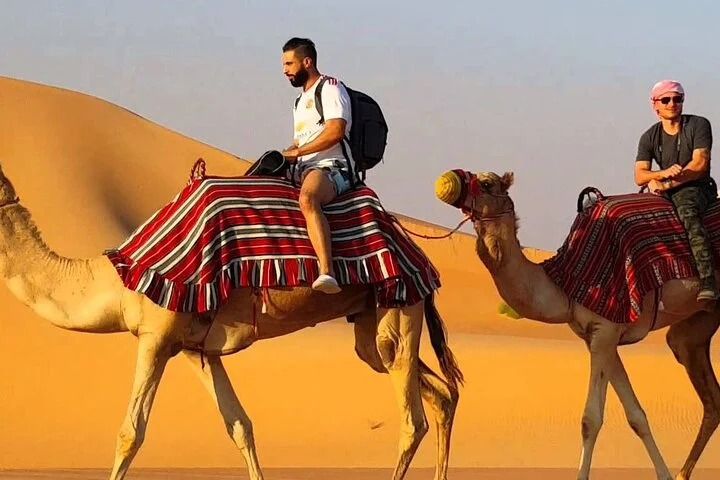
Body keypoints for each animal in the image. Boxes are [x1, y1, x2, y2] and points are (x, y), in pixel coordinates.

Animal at [0, 161, 464, 480]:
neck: (120, 279)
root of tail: (412, 245)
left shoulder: (155, 336)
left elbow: (131, 432)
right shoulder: (195, 348)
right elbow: (240, 425)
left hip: (400, 301)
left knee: (412, 418)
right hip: (374, 316)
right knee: (438, 393)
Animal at [433, 169, 720, 480]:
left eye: (487, 183)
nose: (447, 181)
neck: (564, 284)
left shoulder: (605, 330)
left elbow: (590, 419)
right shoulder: (599, 337)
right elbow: (636, 416)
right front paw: (664, 476)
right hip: (696, 324)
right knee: (709, 393)